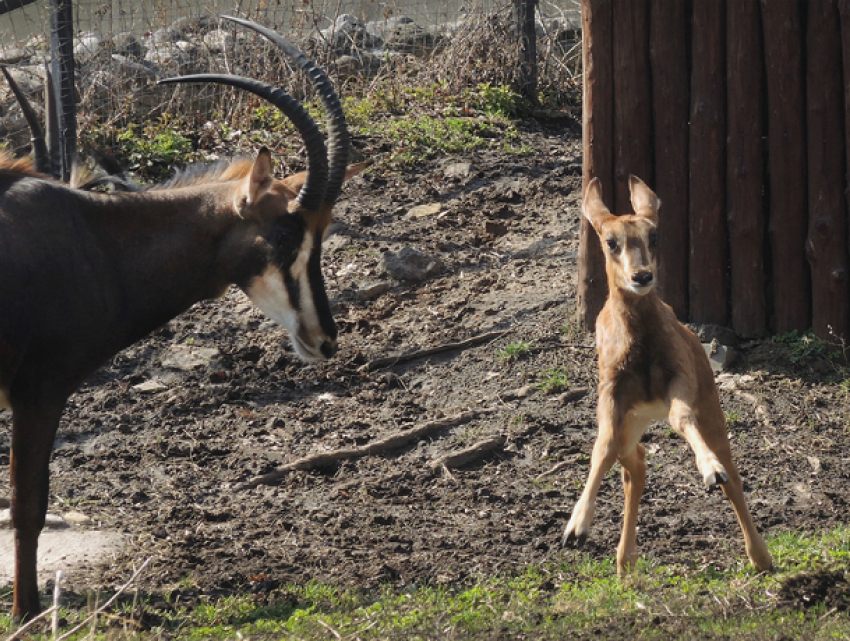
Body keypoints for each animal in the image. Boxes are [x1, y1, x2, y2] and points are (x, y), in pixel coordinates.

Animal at [0, 17, 364, 620]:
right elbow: (28, 507)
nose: (324, 340)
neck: (94, 238)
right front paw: (27, 614)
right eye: (286, 235)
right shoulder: (38, 393)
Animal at [560, 178, 772, 572]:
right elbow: (602, 446)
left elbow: (681, 417)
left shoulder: (680, 378)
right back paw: (625, 561)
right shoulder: (610, 391)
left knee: (731, 474)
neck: (640, 344)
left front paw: (709, 471)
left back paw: (760, 556)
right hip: (632, 422)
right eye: (610, 241)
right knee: (634, 464)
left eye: (654, 235)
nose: (642, 276)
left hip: (707, 403)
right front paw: (576, 527)